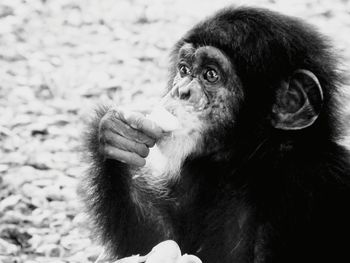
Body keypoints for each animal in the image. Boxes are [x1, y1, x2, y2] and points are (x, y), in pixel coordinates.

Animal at [82, 6, 350, 263]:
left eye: (211, 74)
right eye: (184, 69)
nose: (181, 91)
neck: (246, 164)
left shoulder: (307, 188)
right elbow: (161, 239)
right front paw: (117, 134)